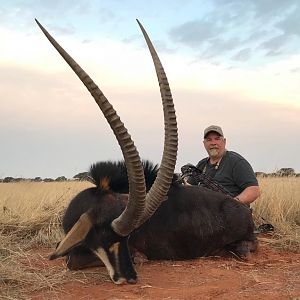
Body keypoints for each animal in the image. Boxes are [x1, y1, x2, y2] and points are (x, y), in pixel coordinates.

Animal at [36, 20, 256, 284]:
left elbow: (72, 261)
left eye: (126, 238)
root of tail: (243, 208)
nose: (128, 278)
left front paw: (138, 258)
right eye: (106, 238)